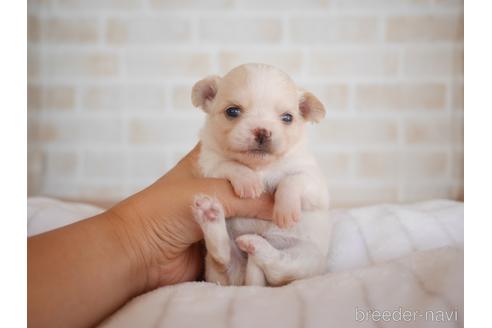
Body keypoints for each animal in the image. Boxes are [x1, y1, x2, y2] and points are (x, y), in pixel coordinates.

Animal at [190, 62, 332, 286]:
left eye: (287, 118)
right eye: (232, 111)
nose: (262, 131)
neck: (262, 168)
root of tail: (248, 282)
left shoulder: (314, 182)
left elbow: (293, 180)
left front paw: (285, 209)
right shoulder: (209, 163)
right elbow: (229, 163)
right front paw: (249, 182)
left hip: (307, 257)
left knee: (279, 268)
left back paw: (254, 243)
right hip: (217, 271)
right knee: (222, 258)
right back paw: (210, 216)